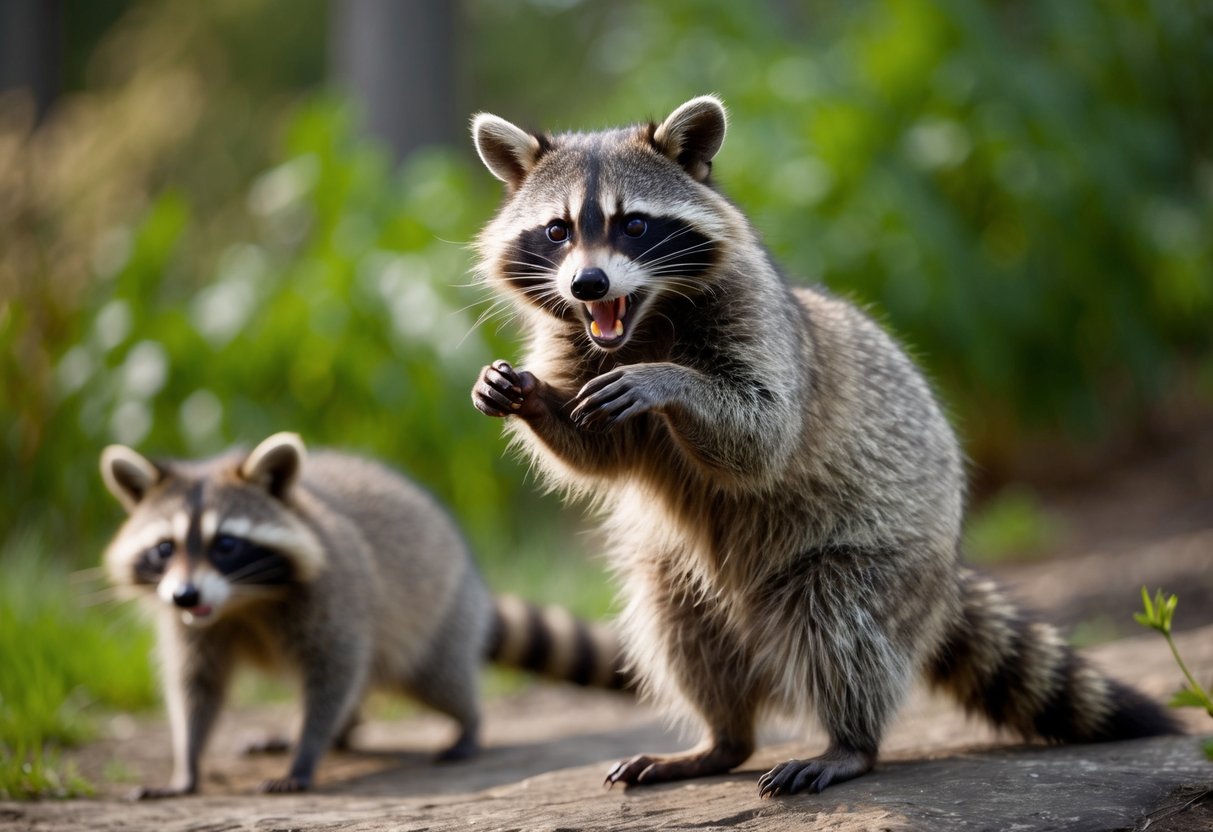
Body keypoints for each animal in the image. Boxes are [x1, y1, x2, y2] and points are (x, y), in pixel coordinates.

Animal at [100, 432, 626, 798]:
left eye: (225, 544)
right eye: (165, 548)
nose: (185, 596)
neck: (242, 600)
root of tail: (474, 586)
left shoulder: (336, 591)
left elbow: (334, 669)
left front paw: (305, 756)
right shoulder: (190, 626)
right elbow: (196, 685)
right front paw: (186, 765)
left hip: (438, 617)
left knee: (437, 679)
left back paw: (466, 723)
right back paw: (334, 730)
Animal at [469, 96, 1179, 796]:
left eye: (634, 225)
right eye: (557, 231)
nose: (588, 284)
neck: (642, 318)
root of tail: (945, 573)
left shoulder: (757, 319)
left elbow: (761, 434)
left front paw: (666, 380)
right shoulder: (577, 345)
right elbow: (597, 451)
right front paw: (528, 395)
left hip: (875, 552)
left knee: (840, 627)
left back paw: (850, 742)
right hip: (678, 576)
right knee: (683, 634)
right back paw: (721, 740)